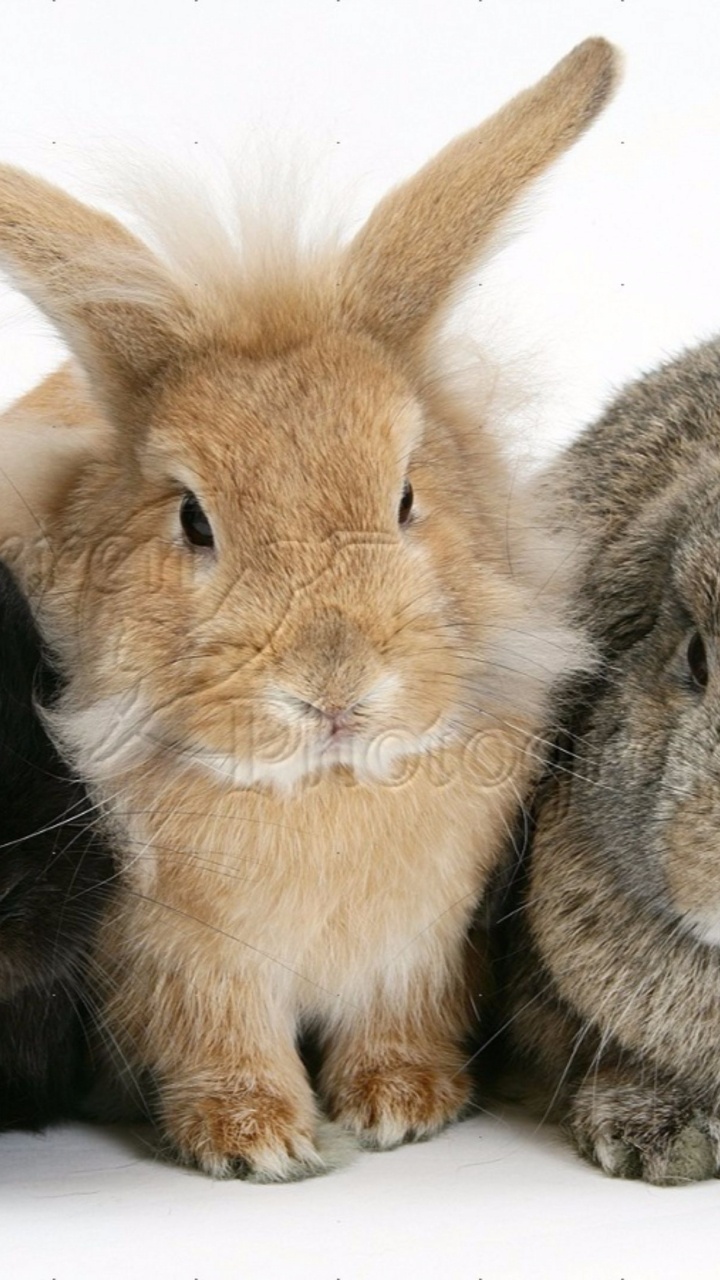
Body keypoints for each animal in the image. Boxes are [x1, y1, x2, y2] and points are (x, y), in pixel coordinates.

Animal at [0, 38, 617, 1180]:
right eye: (193, 518)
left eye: (407, 494)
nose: (335, 688)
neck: (321, 790)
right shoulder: (186, 962)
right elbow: (222, 1038)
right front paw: (257, 1139)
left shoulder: (420, 945)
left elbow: (399, 1016)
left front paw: (404, 1103)